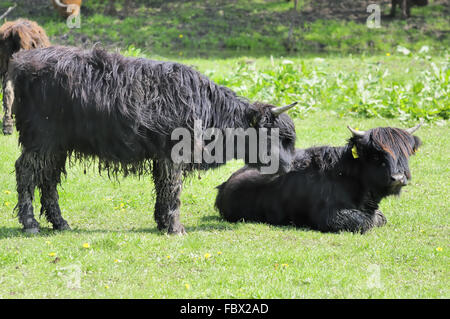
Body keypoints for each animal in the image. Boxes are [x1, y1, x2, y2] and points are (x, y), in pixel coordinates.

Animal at [8, 45, 298, 235]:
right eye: (278, 136)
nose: (291, 165)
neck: (208, 109)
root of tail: (22, 62)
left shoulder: (162, 158)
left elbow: (162, 188)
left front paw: (162, 222)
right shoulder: (173, 155)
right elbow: (173, 190)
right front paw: (175, 227)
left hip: (57, 146)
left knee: (48, 178)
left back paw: (60, 223)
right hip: (41, 141)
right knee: (26, 171)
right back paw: (31, 224)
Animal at [215, 125, 422, 235]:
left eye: (405, 152)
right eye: (376, 155)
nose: (398, 178)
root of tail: (224, 186)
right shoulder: (330, 217)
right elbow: (368, 221)